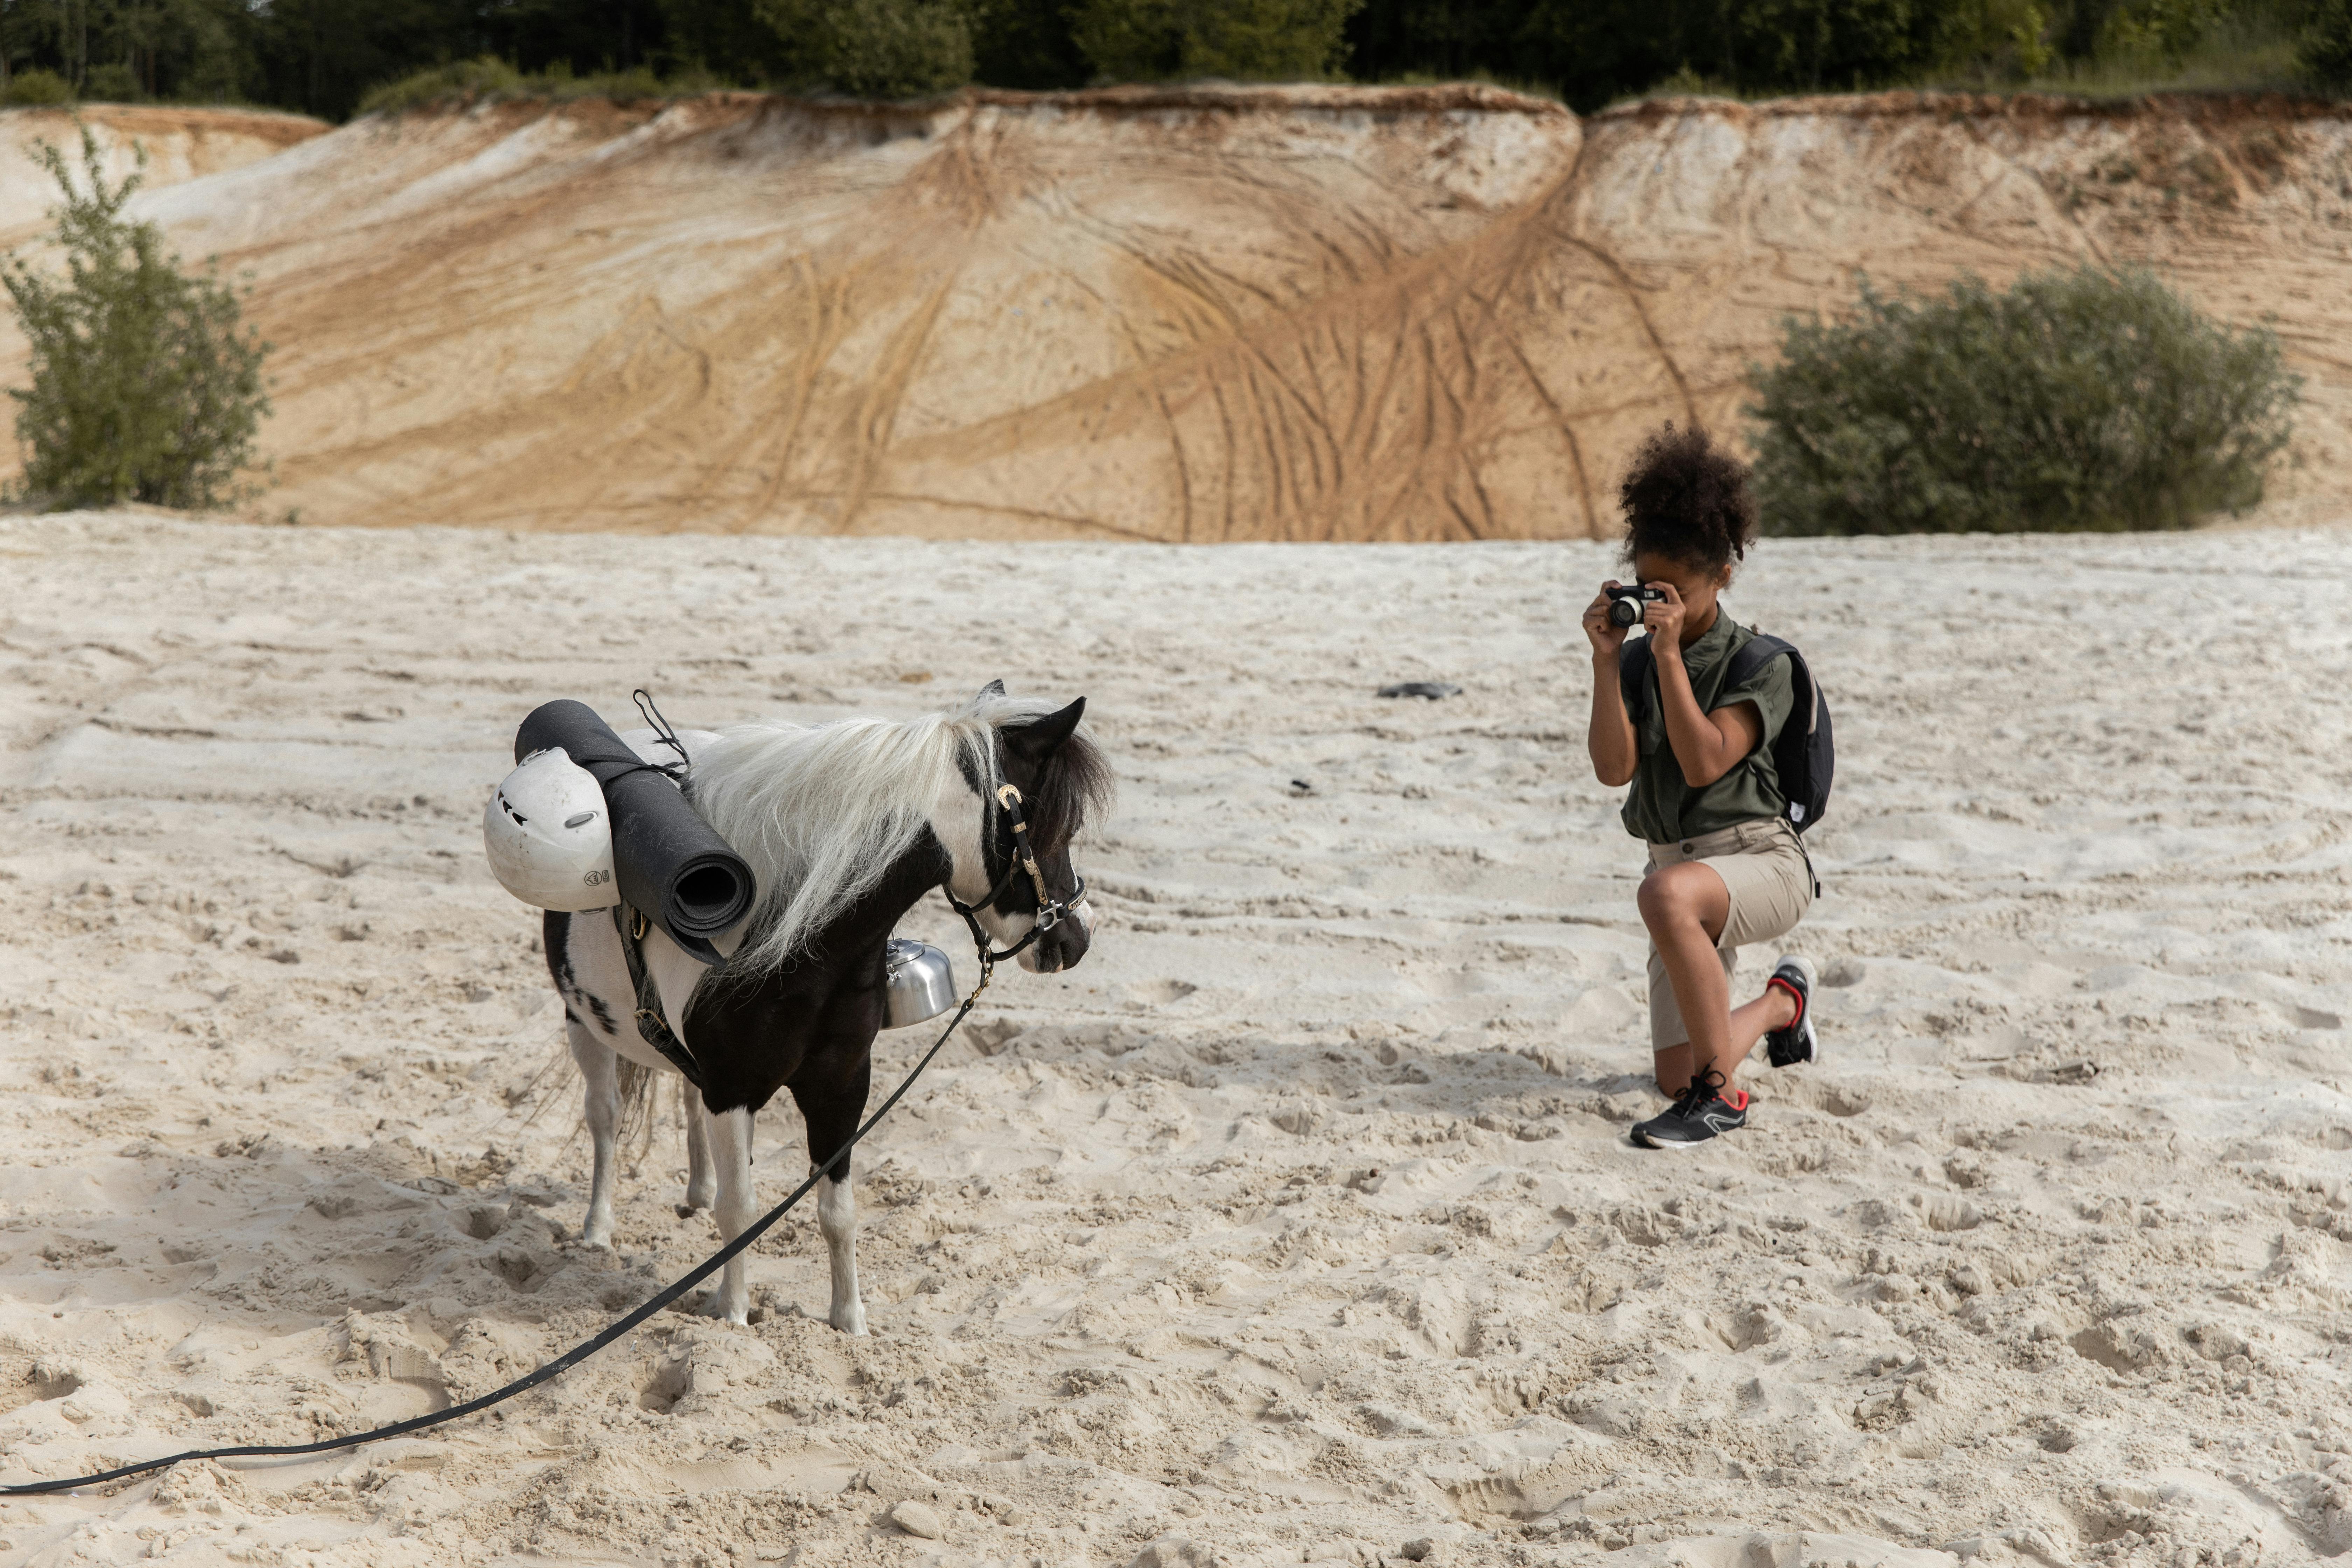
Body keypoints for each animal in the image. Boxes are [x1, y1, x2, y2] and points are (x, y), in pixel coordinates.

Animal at [538, 683, 1109, 1331]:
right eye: (1060, 825)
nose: (1078, 939)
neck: (793, 938)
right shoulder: (733, 1090)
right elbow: (741, 1211)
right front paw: (733, 1317)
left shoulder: (841, 1083)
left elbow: (839, 1212)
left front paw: (850, 1322)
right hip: (584, 1024)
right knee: (606, 1117)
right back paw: (598, 1228)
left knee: (685, 1101)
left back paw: (695, 1192)